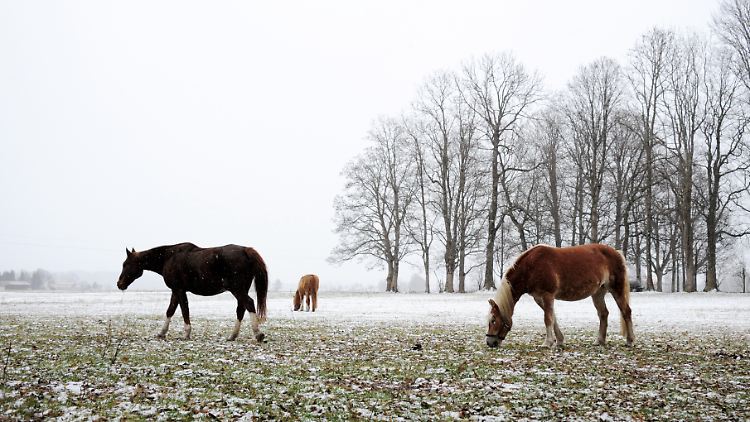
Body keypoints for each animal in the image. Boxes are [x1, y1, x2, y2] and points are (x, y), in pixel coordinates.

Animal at [116, 243, 268, 342]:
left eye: (125, 264)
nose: (119, 284)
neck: (168, 257)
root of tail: (245, 250)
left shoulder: (179, 290)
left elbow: (184, 310)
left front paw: (186, 334)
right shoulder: (175, 291)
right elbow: (170, 311)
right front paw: (161, 333)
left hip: (237, 289)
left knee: (249, 304)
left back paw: (258, 334)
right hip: (241, 289)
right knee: (241, 309)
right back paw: (232, 336)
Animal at [486, 244, 634, 348]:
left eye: (493, 320)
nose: (489, 342)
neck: (531, 267)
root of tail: (617, 253)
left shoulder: (547, 295)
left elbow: (548, 319)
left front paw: (547, 343)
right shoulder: (539, 298)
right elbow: (553, 318)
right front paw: (559, 341)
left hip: (616, 290)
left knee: (626, 311)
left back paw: (630, 341)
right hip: (598, 294)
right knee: (603, 314)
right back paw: (599, 341)